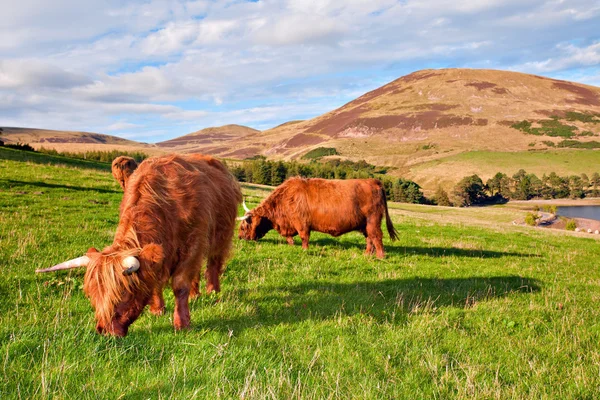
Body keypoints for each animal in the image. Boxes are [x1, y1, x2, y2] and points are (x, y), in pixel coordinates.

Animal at [37, 155, 241, 336]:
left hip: (220, 234)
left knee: (214, 262)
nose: (105, 331)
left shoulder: (193, 244)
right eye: (92, 294)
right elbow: (156, 281)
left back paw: (212, 290)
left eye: (124, 293)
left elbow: (180, 284)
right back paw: (195, 294)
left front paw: (182, 323)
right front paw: (158, 309)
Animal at [237, 178, 396, 260]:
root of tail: (374, 181)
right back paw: (366, 254)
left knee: (377, 237)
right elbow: (290, 238)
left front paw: (304, 250)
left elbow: (304, 237)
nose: (239, 237)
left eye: (244, 226)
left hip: (373, 220)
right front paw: (292, 245)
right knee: (369, 238)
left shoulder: (301, 223)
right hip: (365, 224)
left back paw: (380, 256)